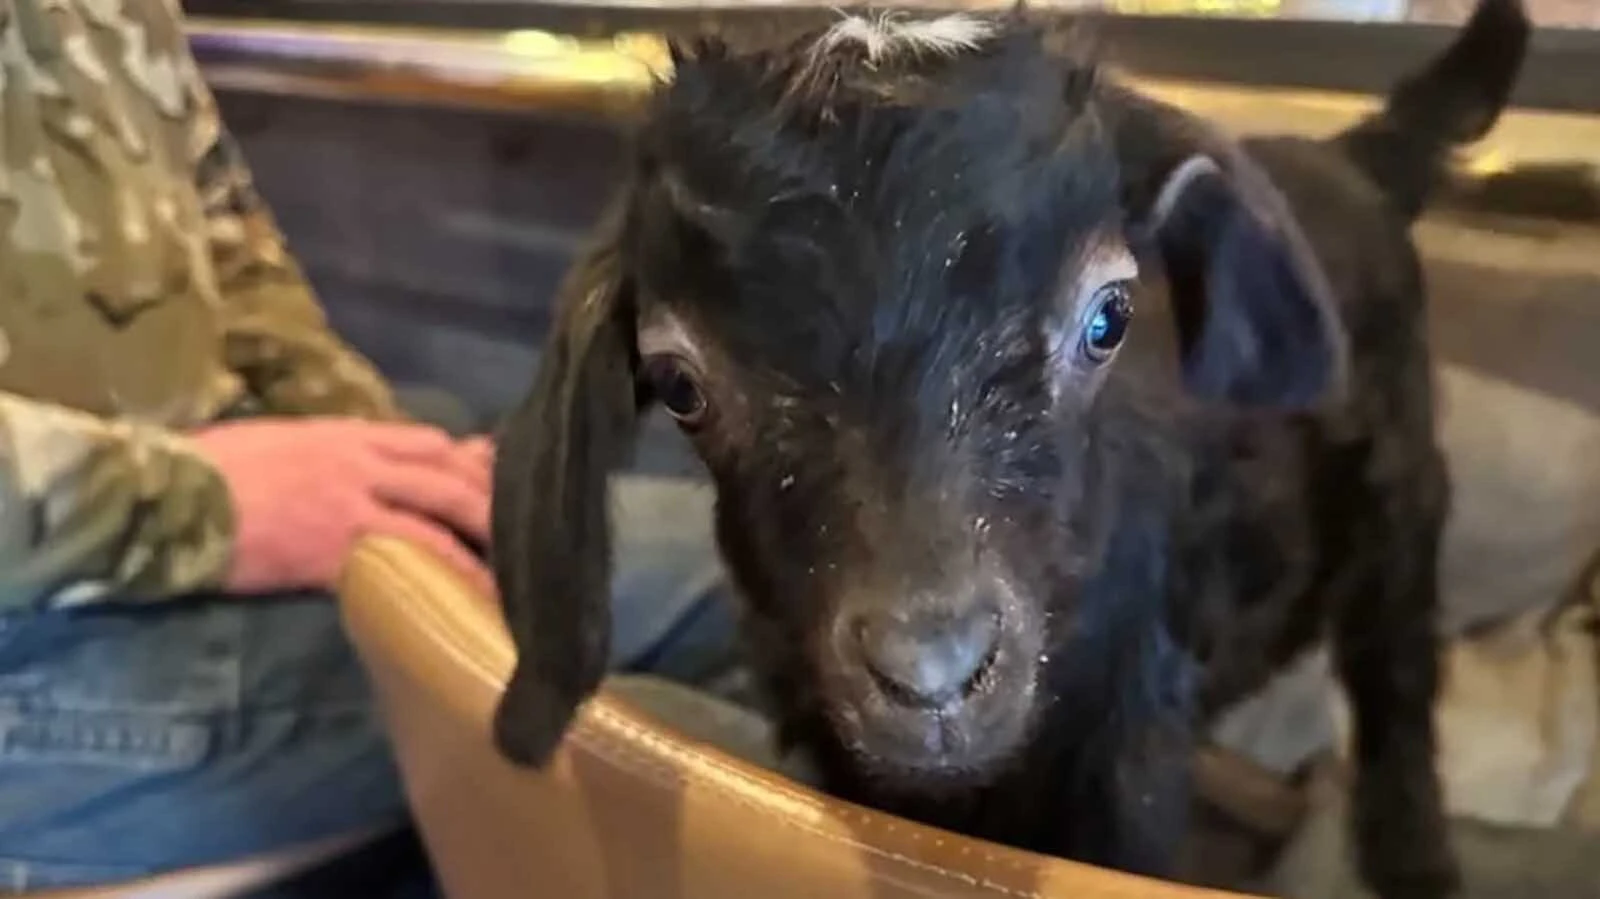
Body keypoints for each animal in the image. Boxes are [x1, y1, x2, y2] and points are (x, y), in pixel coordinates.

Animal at [489, 2, 1530, 897]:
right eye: (679, 383)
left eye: (1109, 317)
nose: (935, 672)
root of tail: (1353, 162)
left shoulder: (1128, 761)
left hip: (1405, 492)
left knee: (1397, 675)